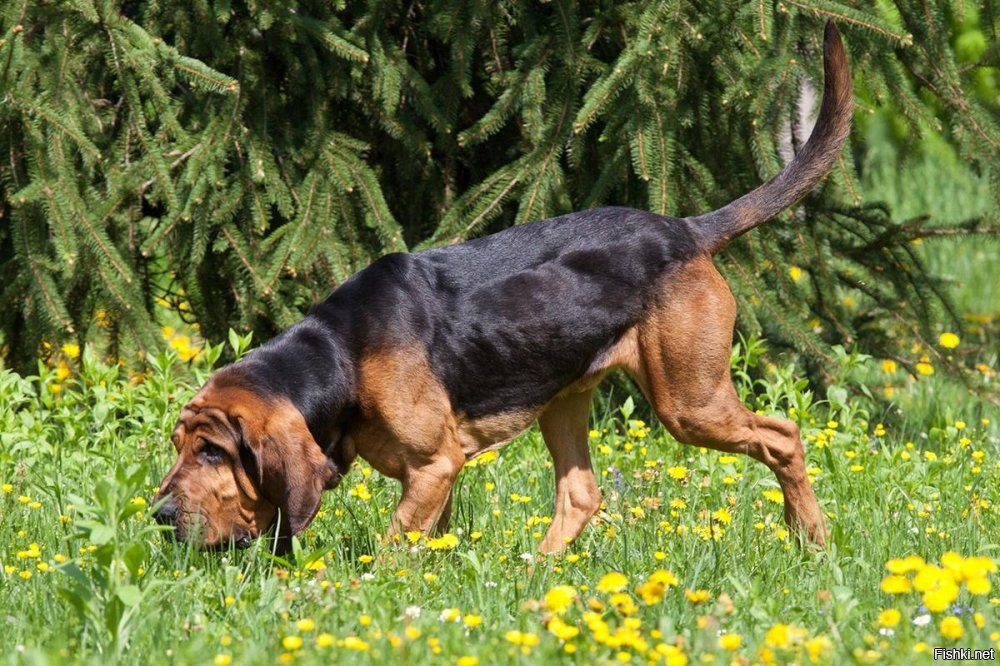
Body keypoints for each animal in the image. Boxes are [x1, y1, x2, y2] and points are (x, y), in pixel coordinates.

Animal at [156, 22, 852, 548]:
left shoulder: (435, 465)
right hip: (566, 397)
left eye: (214, 452)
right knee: (581, 495)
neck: (340, 356)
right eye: (180, 445)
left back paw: (812, 539)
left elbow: (392, 546)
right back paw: (539, 576)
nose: (159, 515)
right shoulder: (436, 476)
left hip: (690, 402)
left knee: (784, 438)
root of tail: (684, 228)